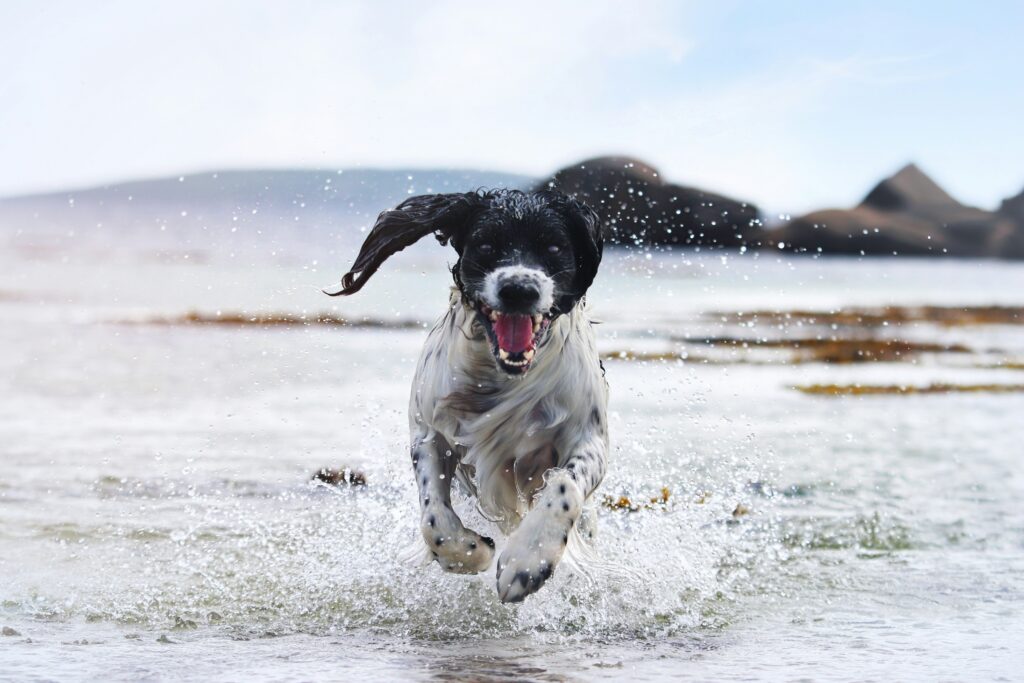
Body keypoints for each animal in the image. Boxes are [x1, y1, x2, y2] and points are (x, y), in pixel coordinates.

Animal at [327, 189, 606, 602]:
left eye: (554, 247)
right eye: (486, 244)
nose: (519, 289)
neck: (504, 376)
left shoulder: (589, 438)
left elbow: (563, 484)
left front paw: (527, 562)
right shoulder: (429, 432)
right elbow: (433, 518)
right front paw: (469, 553)